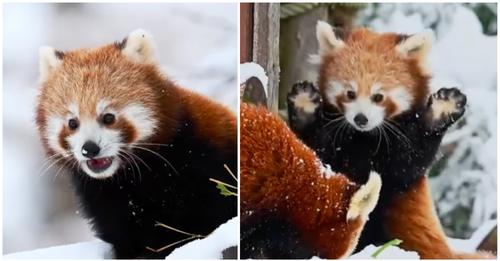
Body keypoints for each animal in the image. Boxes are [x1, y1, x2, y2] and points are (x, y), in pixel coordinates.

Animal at [37, 29, 236, 256]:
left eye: (108, 117)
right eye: (72, 123)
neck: (134, 180)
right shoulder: (107, 204)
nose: (89, 149)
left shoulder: (202, 163)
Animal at [288, 21, 494, 256]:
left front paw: (443, 108)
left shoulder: (402, 162)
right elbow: (315, 151)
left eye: (378, 96)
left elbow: (413, 157)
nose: (361, 118)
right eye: (350, 93)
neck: (364, 139)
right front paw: (305, 104)